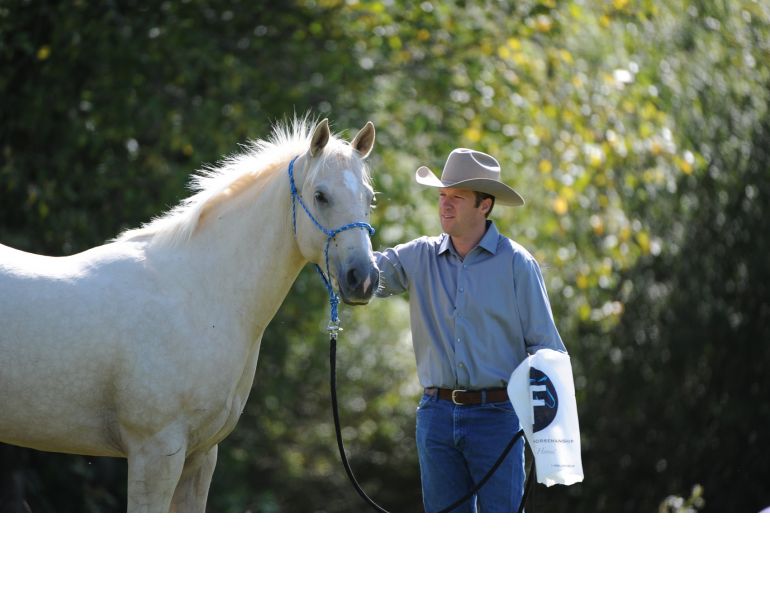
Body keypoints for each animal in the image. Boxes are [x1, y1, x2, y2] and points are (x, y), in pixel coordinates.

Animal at [0, 117, 379, 512]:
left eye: (370, 198)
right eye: (320, 196)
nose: (364, 278)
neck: (197, 293)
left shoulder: (201, 455)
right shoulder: (155, 453)